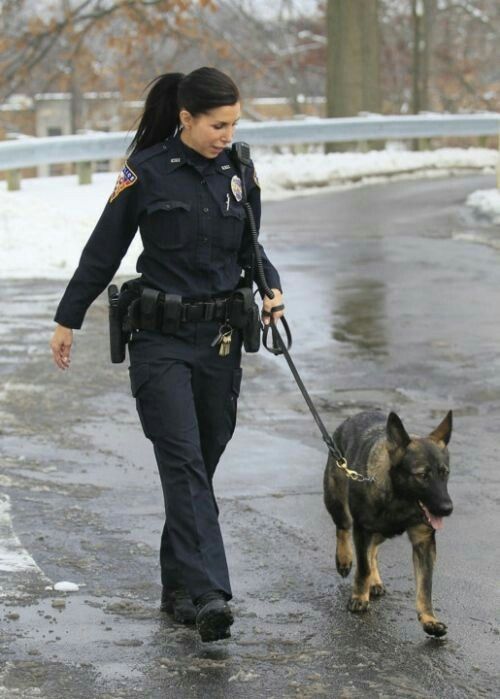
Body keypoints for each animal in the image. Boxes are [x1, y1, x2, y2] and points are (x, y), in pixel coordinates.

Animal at [322, 410, 456, 640]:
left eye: (444, 472)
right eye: (422, 475)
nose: (448, 509)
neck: (399, 499)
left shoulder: (423, 543)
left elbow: (425, 586)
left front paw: (429, 619)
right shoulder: (362, 530)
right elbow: (363, 567)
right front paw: (359, 597)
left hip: (381, 531)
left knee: (373, 551)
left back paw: (374, 581)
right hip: (337, 504)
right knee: (343, 529)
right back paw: (344, 559)